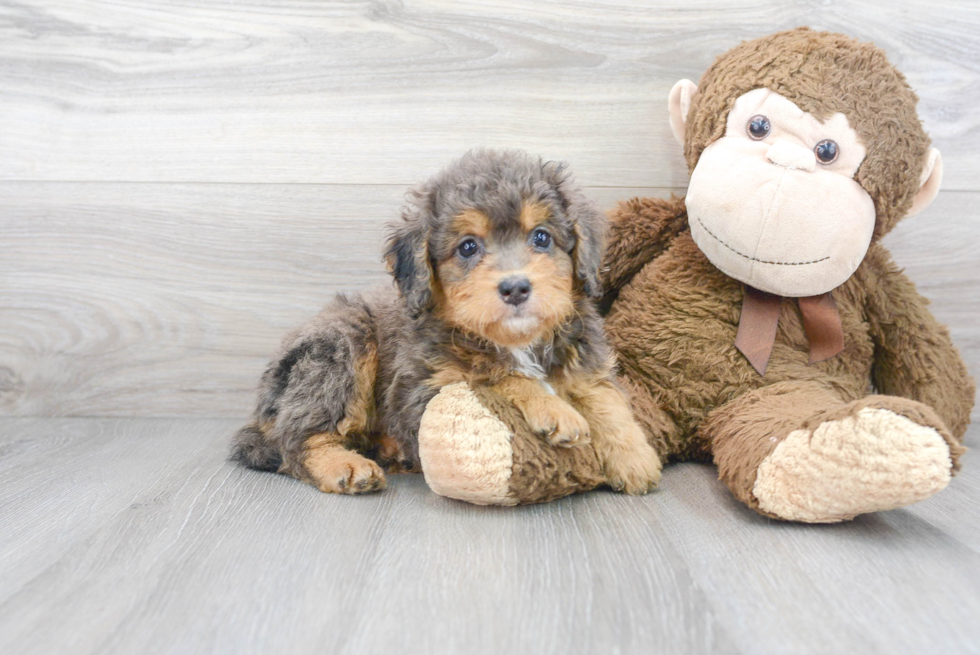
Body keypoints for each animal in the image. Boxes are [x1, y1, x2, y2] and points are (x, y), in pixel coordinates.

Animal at [231, 149, 664, 494]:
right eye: (468, 247)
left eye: (541, 237)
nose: (515, 288)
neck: (518, 342)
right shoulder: (421, 391)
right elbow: (497, 375)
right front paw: (553, 409)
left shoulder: (585, 360)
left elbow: (605, 399)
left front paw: (633, 457)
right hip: (340, 346)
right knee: (296, 440)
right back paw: (346, 465)